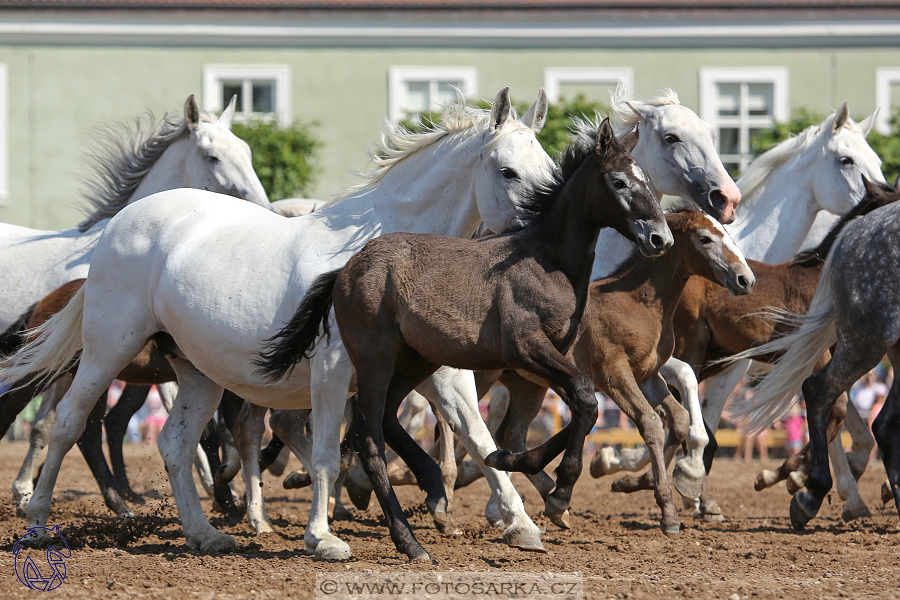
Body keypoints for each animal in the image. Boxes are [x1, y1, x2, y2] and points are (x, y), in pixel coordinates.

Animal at [1, 88, 556, 556]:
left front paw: (523, 526)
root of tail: (120, 225)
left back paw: (205, 534)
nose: (541, 241)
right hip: (106, 350)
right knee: (66, 425)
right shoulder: (332, 374)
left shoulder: (444, 377)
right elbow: (328, 453)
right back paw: (38, 521)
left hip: (197, 372)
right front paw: (323, 538)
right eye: (508, 172)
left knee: (174, 443)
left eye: (551, 167)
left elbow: (482, 442)